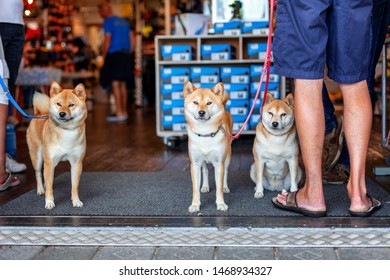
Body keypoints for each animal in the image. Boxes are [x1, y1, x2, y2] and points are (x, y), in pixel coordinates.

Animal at [27, 80, 88, 208]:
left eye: (71, 105)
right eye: (59, 104)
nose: (62, 114)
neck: (67, 132)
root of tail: (38, 114)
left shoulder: (76, 163)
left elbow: (74, 186)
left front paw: (76, 200)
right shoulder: (50, 162)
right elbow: (50, 187)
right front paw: (49, 202)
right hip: (37, 157)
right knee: (38, 173)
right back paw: (41, 189)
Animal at [183, 82, 232, 213]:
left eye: (209, 103)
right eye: (195, 102)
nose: (201, 112)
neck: (204, 133)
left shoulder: (219, 164)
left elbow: (219, 187)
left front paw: (221, 204)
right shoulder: (195, 164)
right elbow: (195, 188)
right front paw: (195, 205)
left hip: (228, 157)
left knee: (226, 173)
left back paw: (225, 187)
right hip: (203, 161)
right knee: (205, 170)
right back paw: (205, 186)